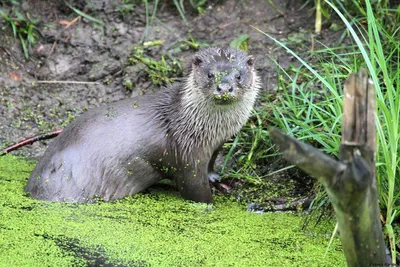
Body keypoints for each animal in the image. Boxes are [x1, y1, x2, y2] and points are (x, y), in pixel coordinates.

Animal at [26, 47, 260, 204]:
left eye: (239, 75)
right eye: (210, 74)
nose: (224, 87)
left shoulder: (215, 145)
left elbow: (211, 164)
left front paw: (216, 178)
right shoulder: (186, 153)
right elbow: (195, 189)